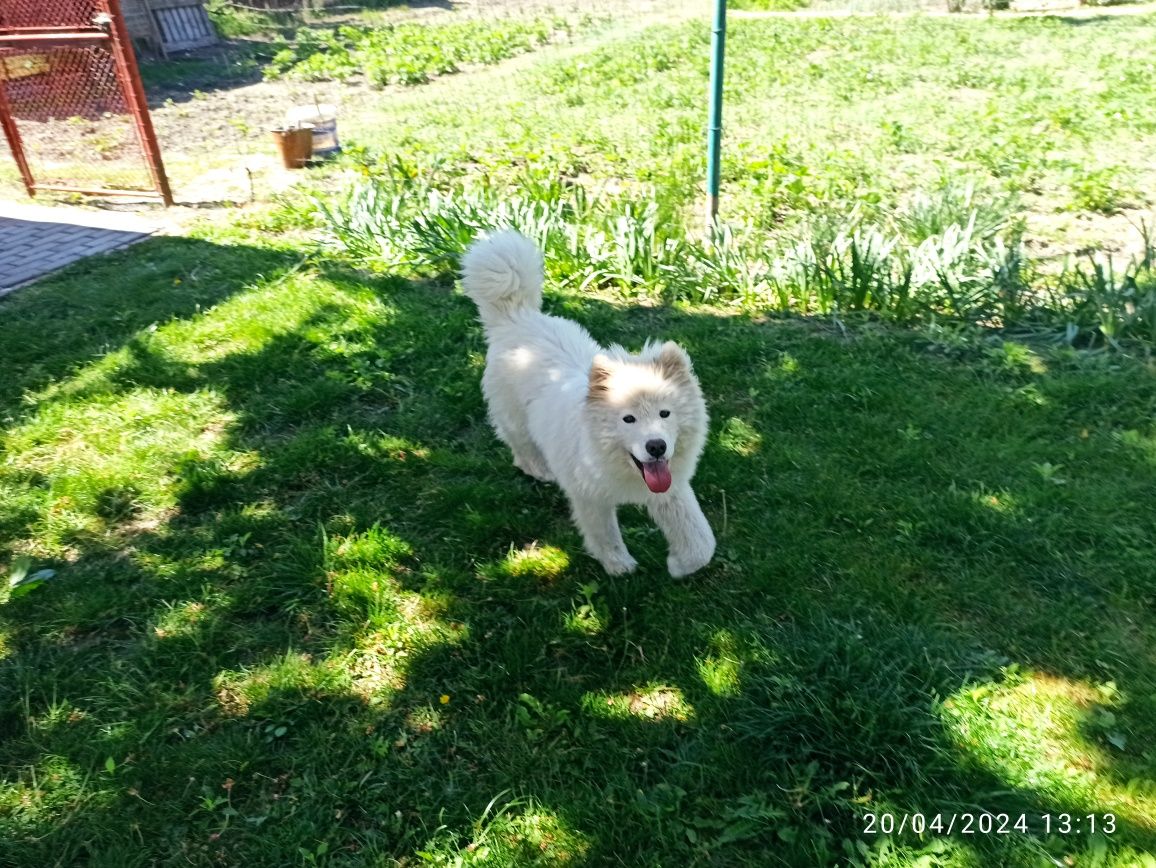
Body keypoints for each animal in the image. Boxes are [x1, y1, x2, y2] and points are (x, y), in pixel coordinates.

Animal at [457, 231, 712, 577]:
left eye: (665, 414)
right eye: (628, 419)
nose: (657, 446)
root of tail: (518, 316)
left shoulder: (670, 490)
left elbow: (701, 541)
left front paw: (680, 565)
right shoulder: (590, 497)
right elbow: (605, 535)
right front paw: (620, 566)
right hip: (515, 420)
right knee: (521, 449)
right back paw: (539, 469)